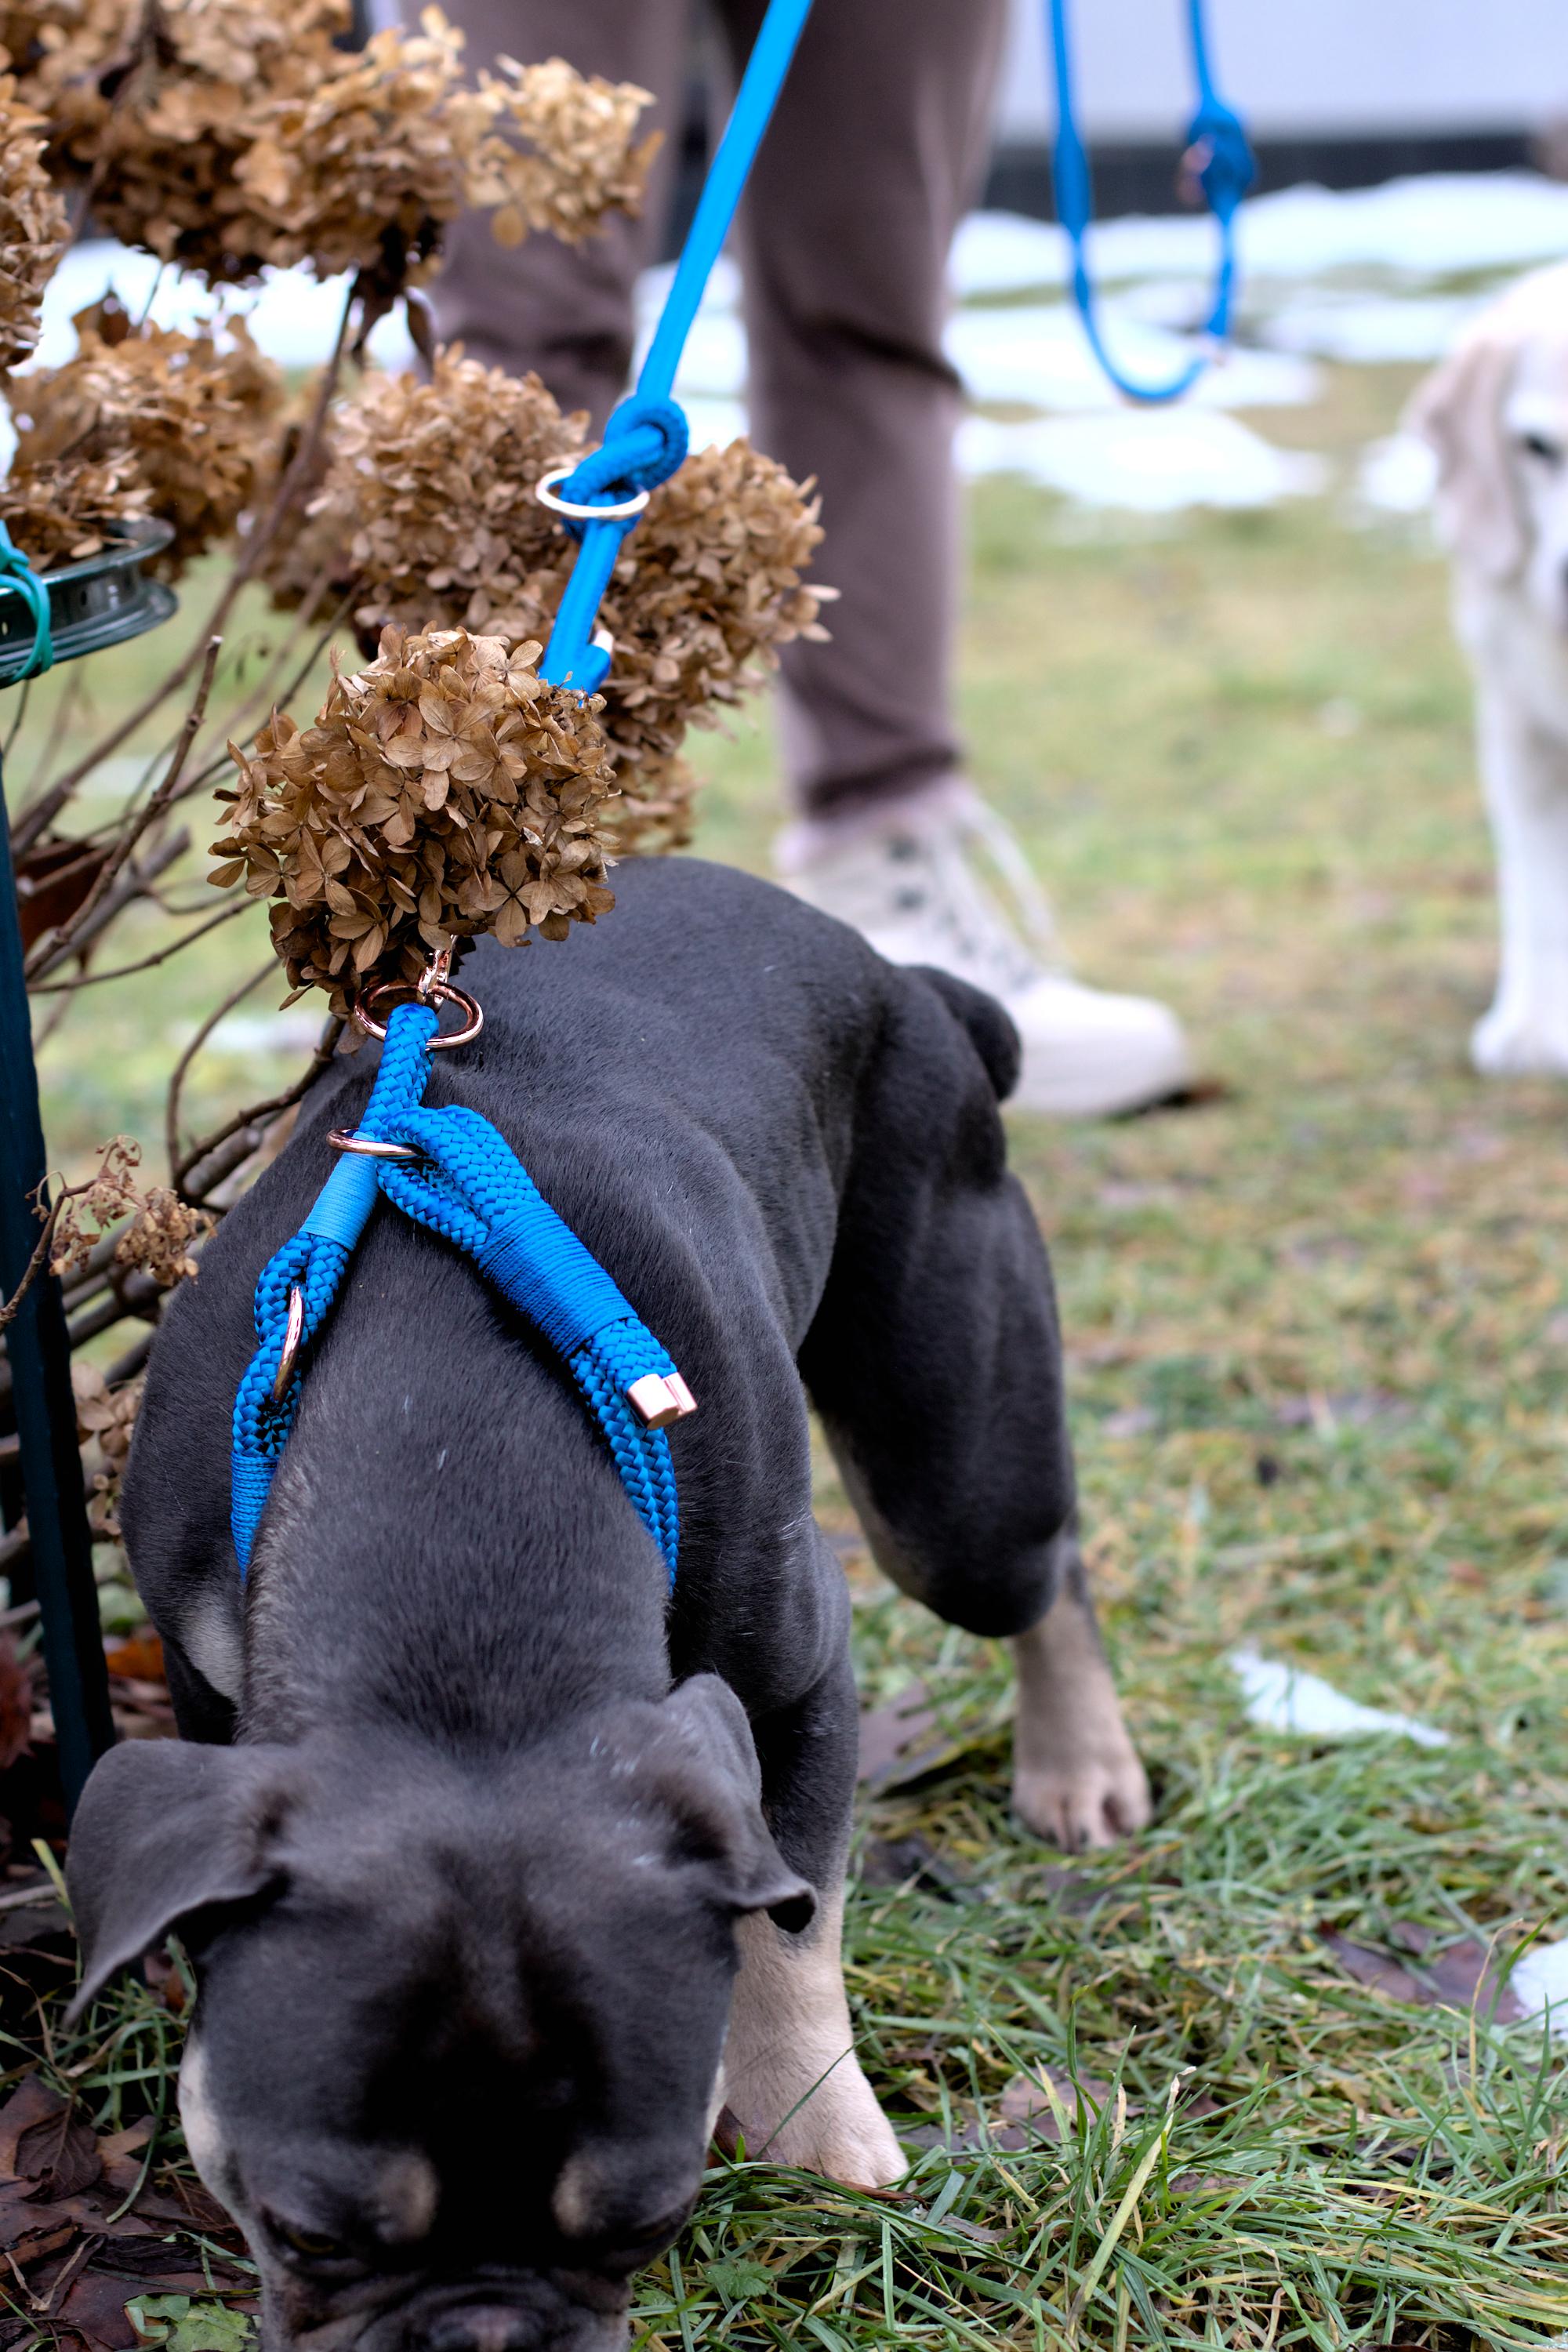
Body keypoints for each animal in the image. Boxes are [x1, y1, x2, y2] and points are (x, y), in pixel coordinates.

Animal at [67, 866, 1147, 2352]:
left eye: (648, 2224)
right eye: (301, 2230)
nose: (485, 2330)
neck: (454, 1494)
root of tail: (907, 980)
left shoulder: (793, 1686)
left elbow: (794, 1915)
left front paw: (816, 2129)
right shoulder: (204, 1667)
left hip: (949, 1469)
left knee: (1035, 1566)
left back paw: (1079, 1764)